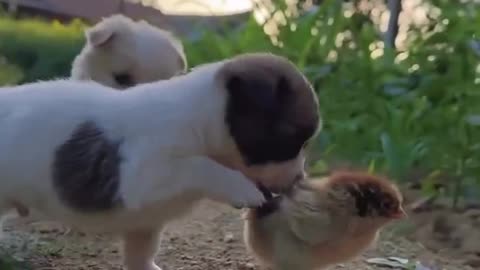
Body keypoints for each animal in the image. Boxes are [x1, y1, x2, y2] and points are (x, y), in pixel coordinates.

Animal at [0, 53, 320, 270]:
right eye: (293, 140)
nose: (299, 180)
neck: (199, 120)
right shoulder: (143, 174)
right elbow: (198, 166)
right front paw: (240, 188)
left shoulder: (146, 221)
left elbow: (141, 251)